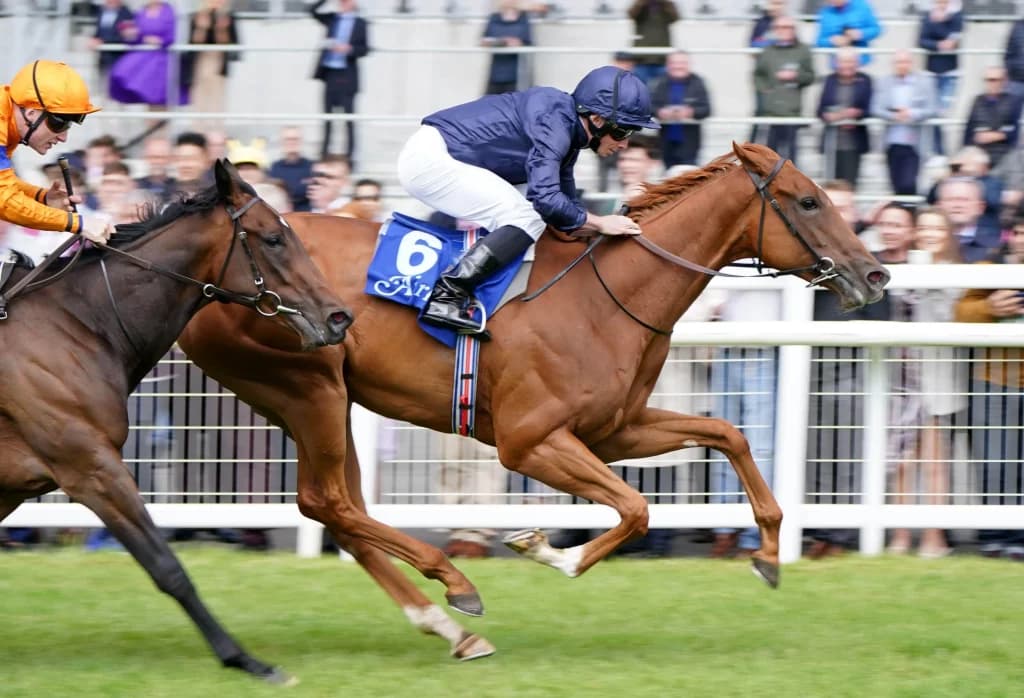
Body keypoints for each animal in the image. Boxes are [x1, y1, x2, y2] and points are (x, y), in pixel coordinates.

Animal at [0, 160, 352, 684]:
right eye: (273, 238)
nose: (339, 317)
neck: (79, 324)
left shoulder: (16, 485)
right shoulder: (92, 468)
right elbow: (168, 568)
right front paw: (246, 660)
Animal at [178, 143, 889, 658]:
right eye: (809, 201)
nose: (876, 273)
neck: (607, 293)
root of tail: (205, 277)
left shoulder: (616, 428)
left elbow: (727, 433)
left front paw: (767, 553)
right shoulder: (530, 441)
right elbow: (635, 508)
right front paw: (551, 550)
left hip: (321, 398)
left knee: (343, 511)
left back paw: (448, 625)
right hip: (308, 386)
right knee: (328, 502)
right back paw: (456, 586)